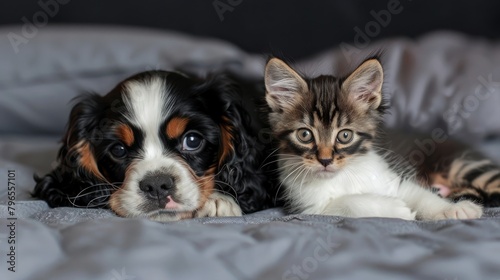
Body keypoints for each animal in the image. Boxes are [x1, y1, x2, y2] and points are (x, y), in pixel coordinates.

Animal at [264, 58, 482, 220]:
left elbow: (420, 195)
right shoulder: (309, 208)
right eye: (305, 135)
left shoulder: (393, 179)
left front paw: (454, 209)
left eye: (344, 135)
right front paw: (398, 209)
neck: (343, 175)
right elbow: (345, 202)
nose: (325, 160)